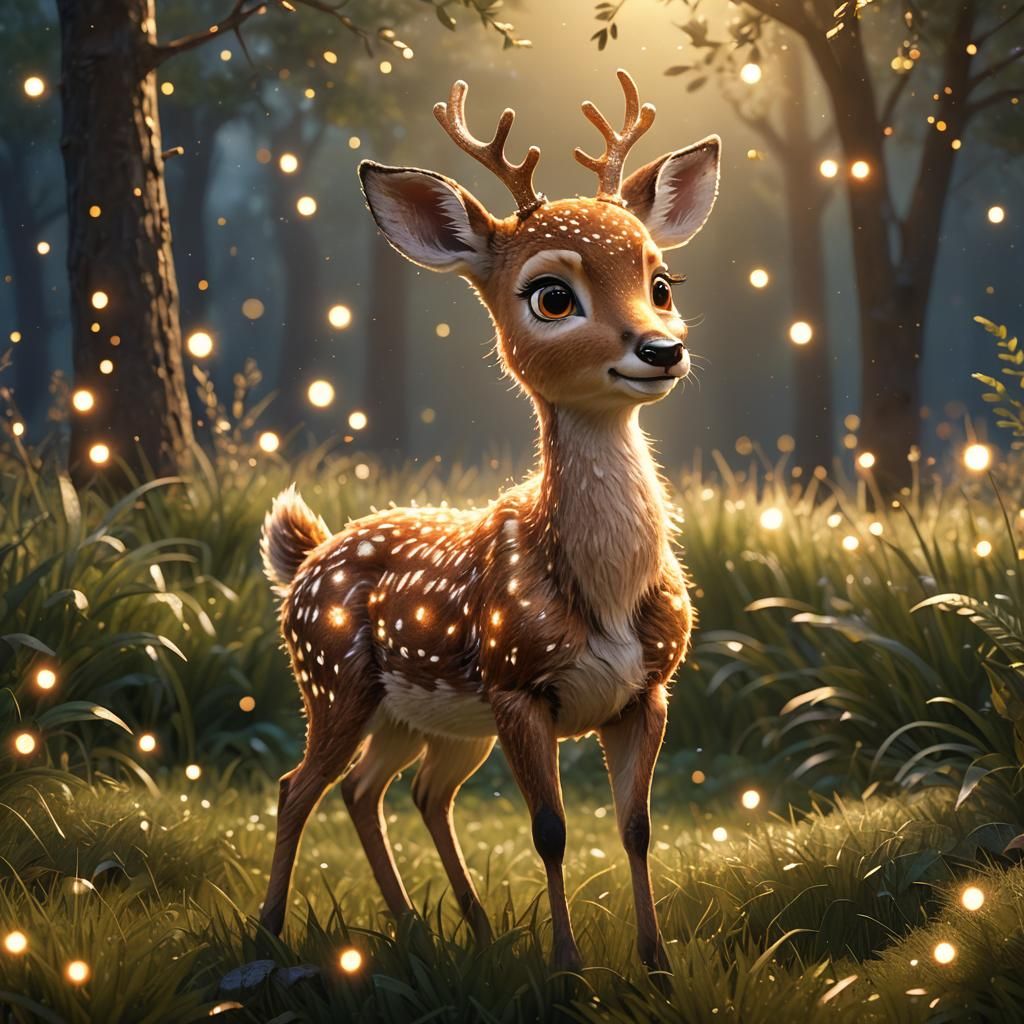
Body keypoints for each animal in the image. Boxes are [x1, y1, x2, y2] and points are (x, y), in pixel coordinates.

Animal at [258, 69, 720, 978]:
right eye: (552, 295)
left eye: (661, 283)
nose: (661, 349)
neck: (605, 597)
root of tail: (305, 558)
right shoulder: (516, 684)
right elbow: (550, 831)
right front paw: (567, 968)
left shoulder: (649, 690)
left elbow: (637, 827)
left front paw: (656, 966)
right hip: (334, 681)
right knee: (301, 788)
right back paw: (269, 936)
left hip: (427, 718)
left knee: (389, 790)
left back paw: (445, 928)